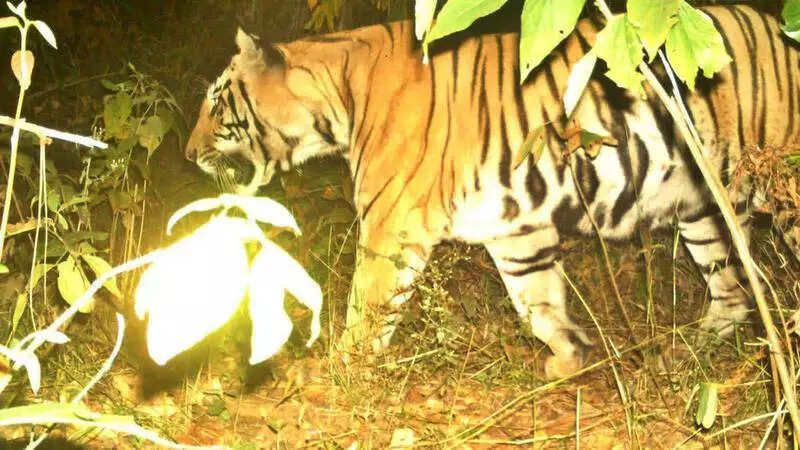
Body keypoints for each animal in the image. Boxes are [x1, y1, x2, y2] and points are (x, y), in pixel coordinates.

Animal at [184, 4, 800, 379]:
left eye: (217, 104)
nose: (187, 155)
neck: (338, 99)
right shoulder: (516, 231)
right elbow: (539, 305)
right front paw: (572, 359)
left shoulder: (390, 225)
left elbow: (366, 309)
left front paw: (337, 375)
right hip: (703, 210)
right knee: (734, 291)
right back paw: (690, 351)